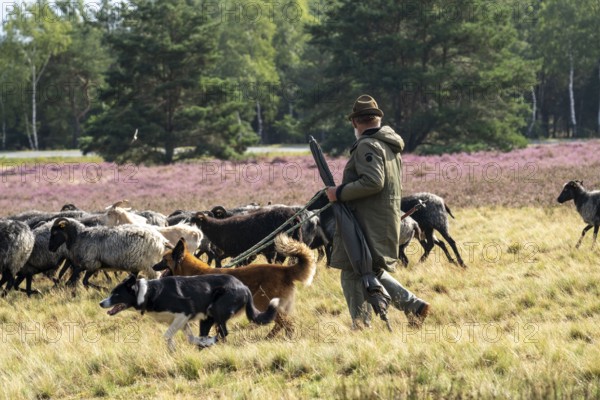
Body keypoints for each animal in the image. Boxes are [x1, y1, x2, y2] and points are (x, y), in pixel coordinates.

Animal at [152, 234, 316, 338]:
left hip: (263, 301)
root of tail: (285, 270)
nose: (153, 266)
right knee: (282, 323)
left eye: (164, 260)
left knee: (286, 323)